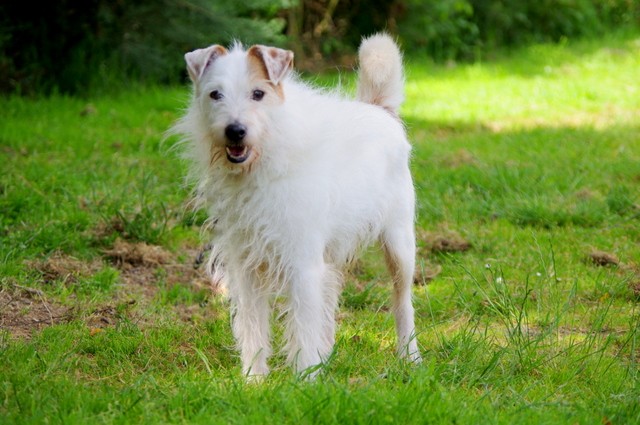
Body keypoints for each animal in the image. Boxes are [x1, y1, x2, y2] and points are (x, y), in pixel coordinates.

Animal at [172, 34, 420, 378]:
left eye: (258, 94)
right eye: (215, 94)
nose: (235, 131)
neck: (265, 160)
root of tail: (380, 109)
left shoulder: (302, 266)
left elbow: (303, 328)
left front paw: (305, 381)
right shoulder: (246, 267)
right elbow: (253, 326)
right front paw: (254, 380)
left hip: (399, 246)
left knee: (402, 301)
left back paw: (410, 356)